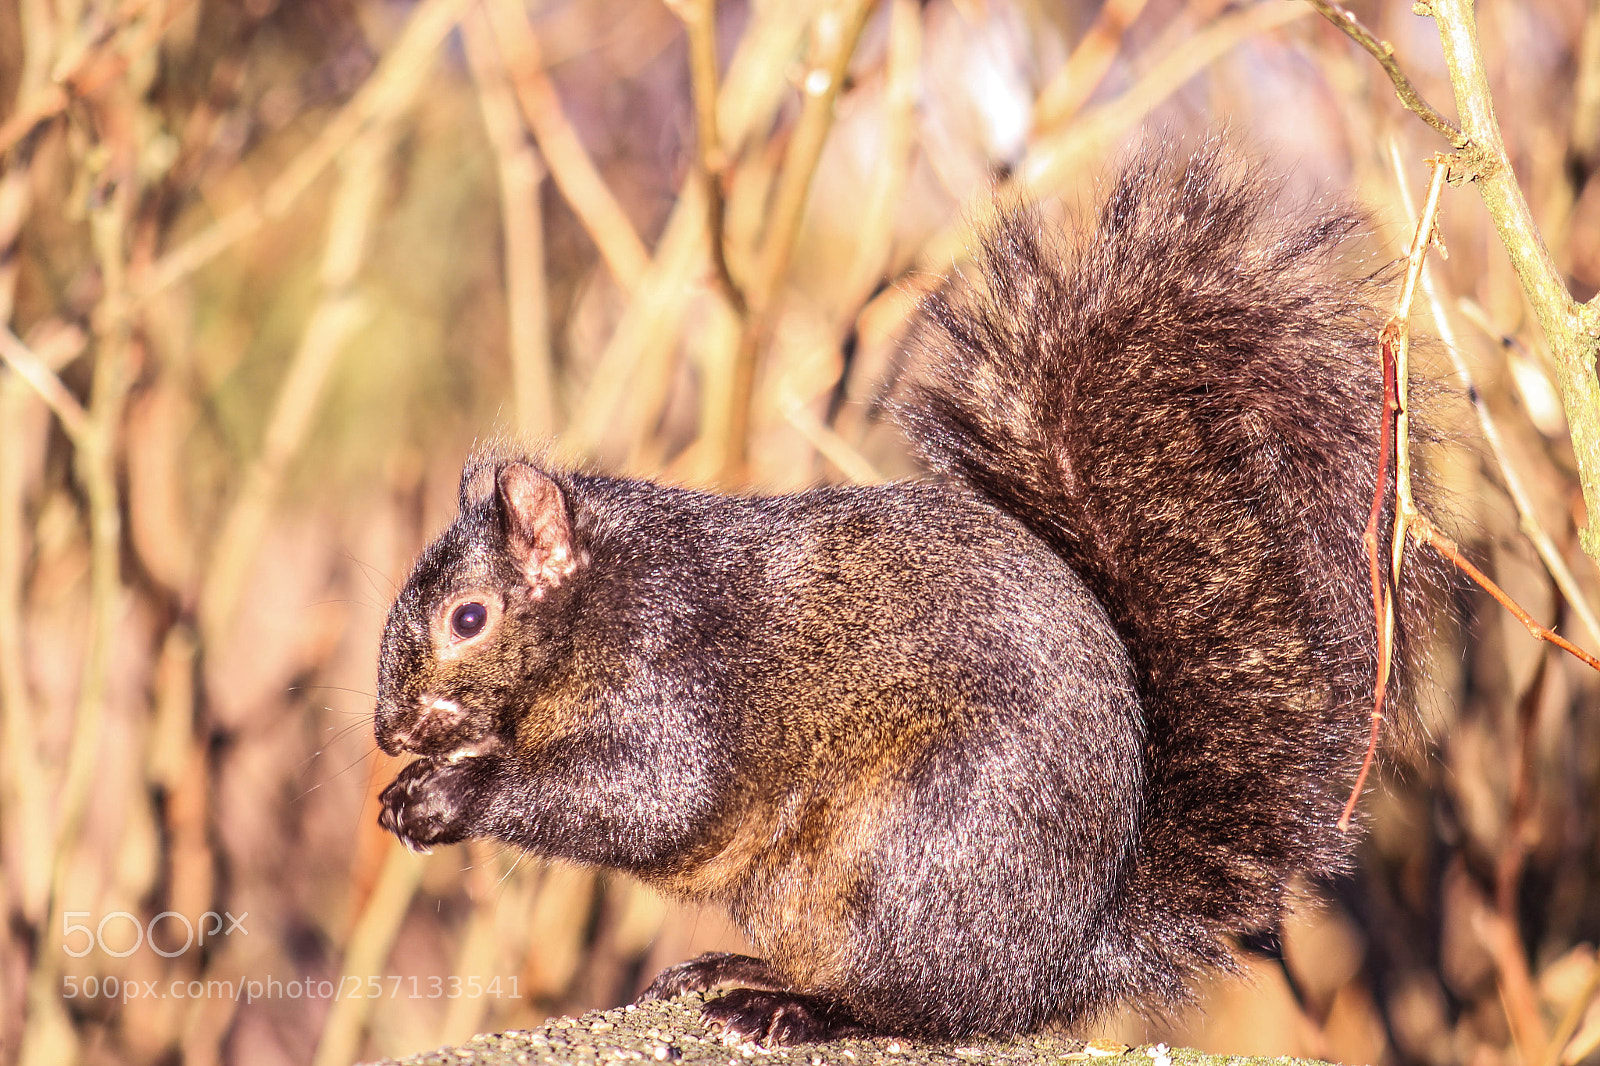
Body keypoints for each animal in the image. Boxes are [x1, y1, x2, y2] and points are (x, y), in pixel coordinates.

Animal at [373, 145, 1434, 1046]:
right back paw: (741, 969)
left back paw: (801, 1010)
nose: (388, 734)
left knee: (922, 1003)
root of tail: (1066, 956)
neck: (602, 604)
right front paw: (407, 790)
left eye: (468, 618)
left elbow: (656, 796)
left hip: (926, 845)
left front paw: (455, 792)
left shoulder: (675, 670)